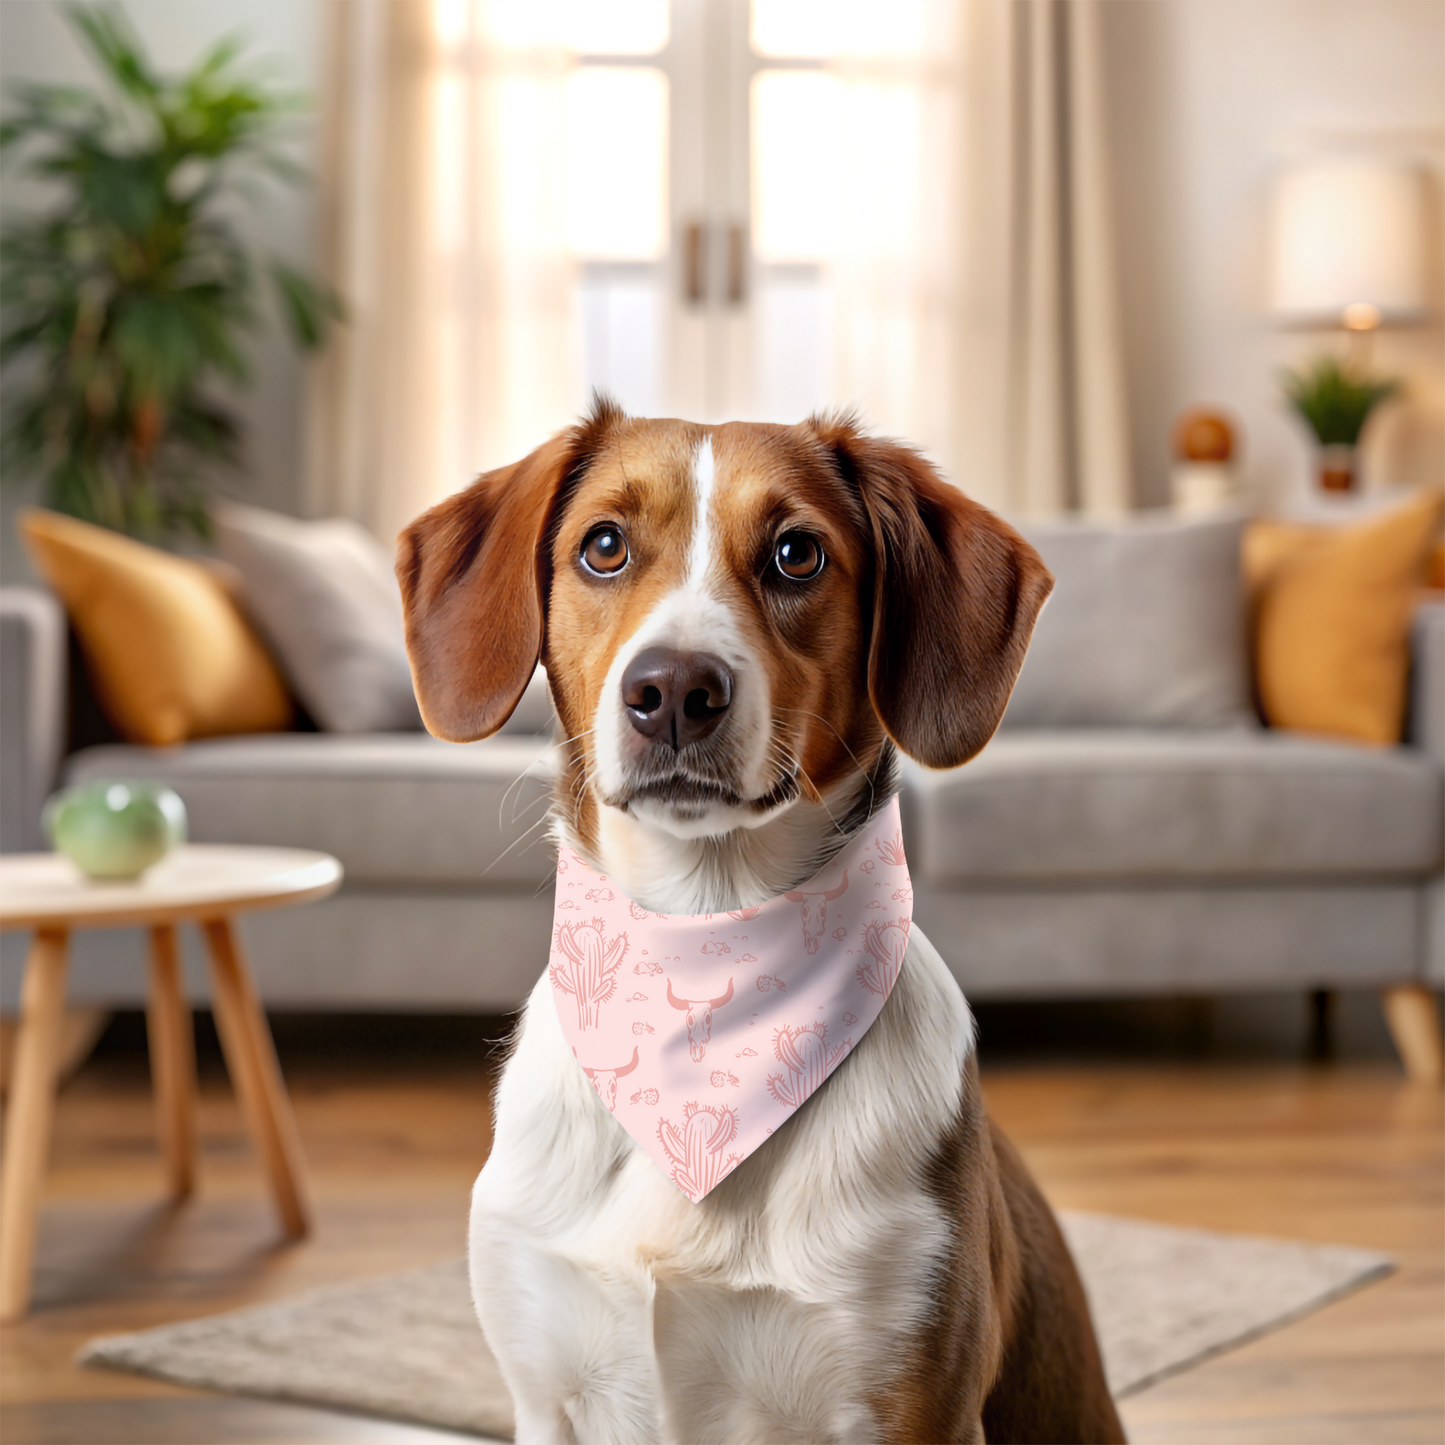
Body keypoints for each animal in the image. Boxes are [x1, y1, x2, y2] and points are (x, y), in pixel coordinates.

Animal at [398, 401, 1127, 1445]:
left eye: (795, 553)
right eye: (604, 546)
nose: (672, 689)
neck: (705, 956)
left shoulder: (912, 1403)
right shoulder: (546, 1393)